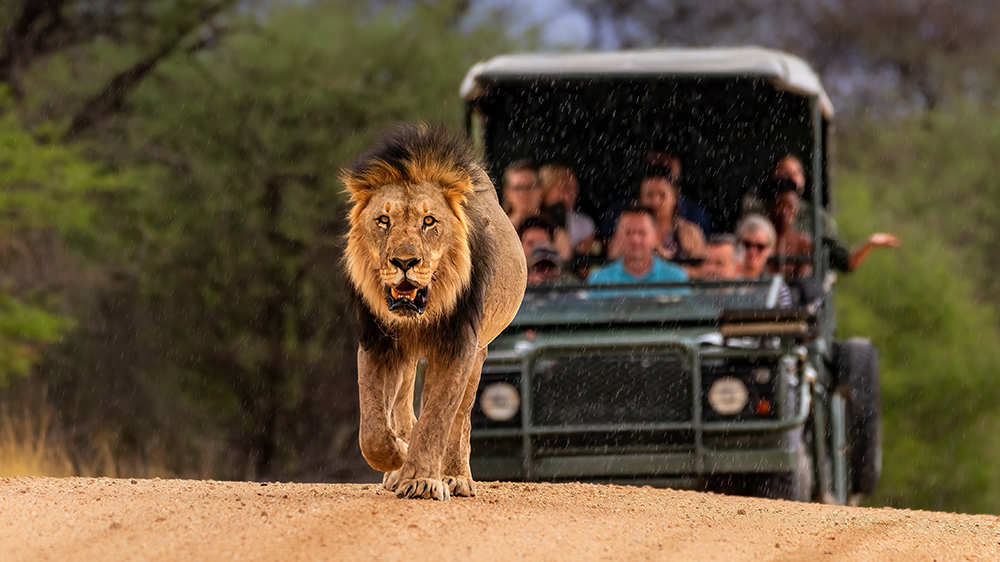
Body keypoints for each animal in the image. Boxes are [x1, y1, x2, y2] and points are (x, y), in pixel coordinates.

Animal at [344, 123, 528, 498]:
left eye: (429, 221)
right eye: (383, 220)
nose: (404, 262)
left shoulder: (459, 344)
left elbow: (438, 417)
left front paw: (422, 480)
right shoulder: (377, 341)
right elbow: (373, 429)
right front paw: (399, 457)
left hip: (480, 352)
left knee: (460, 418)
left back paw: (455, 476)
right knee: (401, 402)